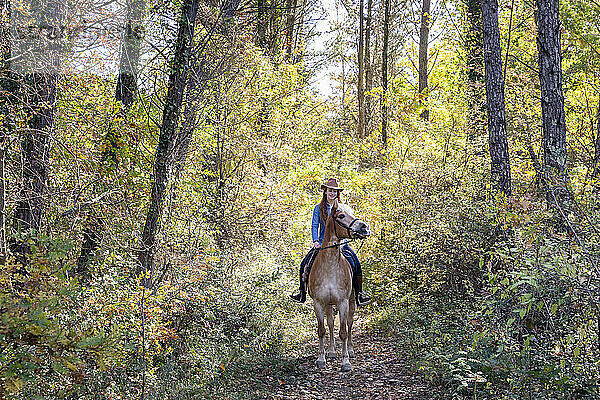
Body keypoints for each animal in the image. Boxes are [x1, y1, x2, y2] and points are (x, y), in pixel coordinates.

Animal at [310, 200, 370, 372]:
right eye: (341, 216)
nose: (364, 227)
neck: (330, 267)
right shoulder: (318, 303)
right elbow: (322, 330)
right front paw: (321, 359)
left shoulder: (343, 302)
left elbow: (343, 331)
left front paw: (346, 362)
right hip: (329, 304)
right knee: (330, 324)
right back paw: (331, 352)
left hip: (351, 301)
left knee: (349, 324)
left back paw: (350, 350)